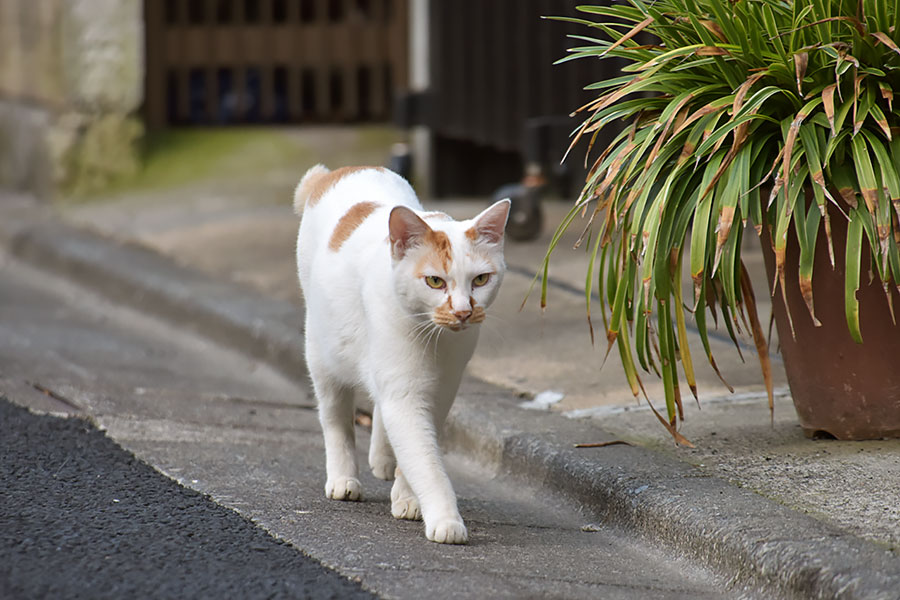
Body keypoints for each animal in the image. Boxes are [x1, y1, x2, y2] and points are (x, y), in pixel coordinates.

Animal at [294, 164, 506, 544]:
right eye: (435, 282)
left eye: (481, 280)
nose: (463, 312)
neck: (437, 340)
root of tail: (335, 172)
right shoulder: (405, 396)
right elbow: (426, 462)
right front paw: (446, 519)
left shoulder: (441, 392)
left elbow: (418, 450)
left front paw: (407, 497)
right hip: (323, 356)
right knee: (336, 420)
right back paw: (343, 478)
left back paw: (382, 458)